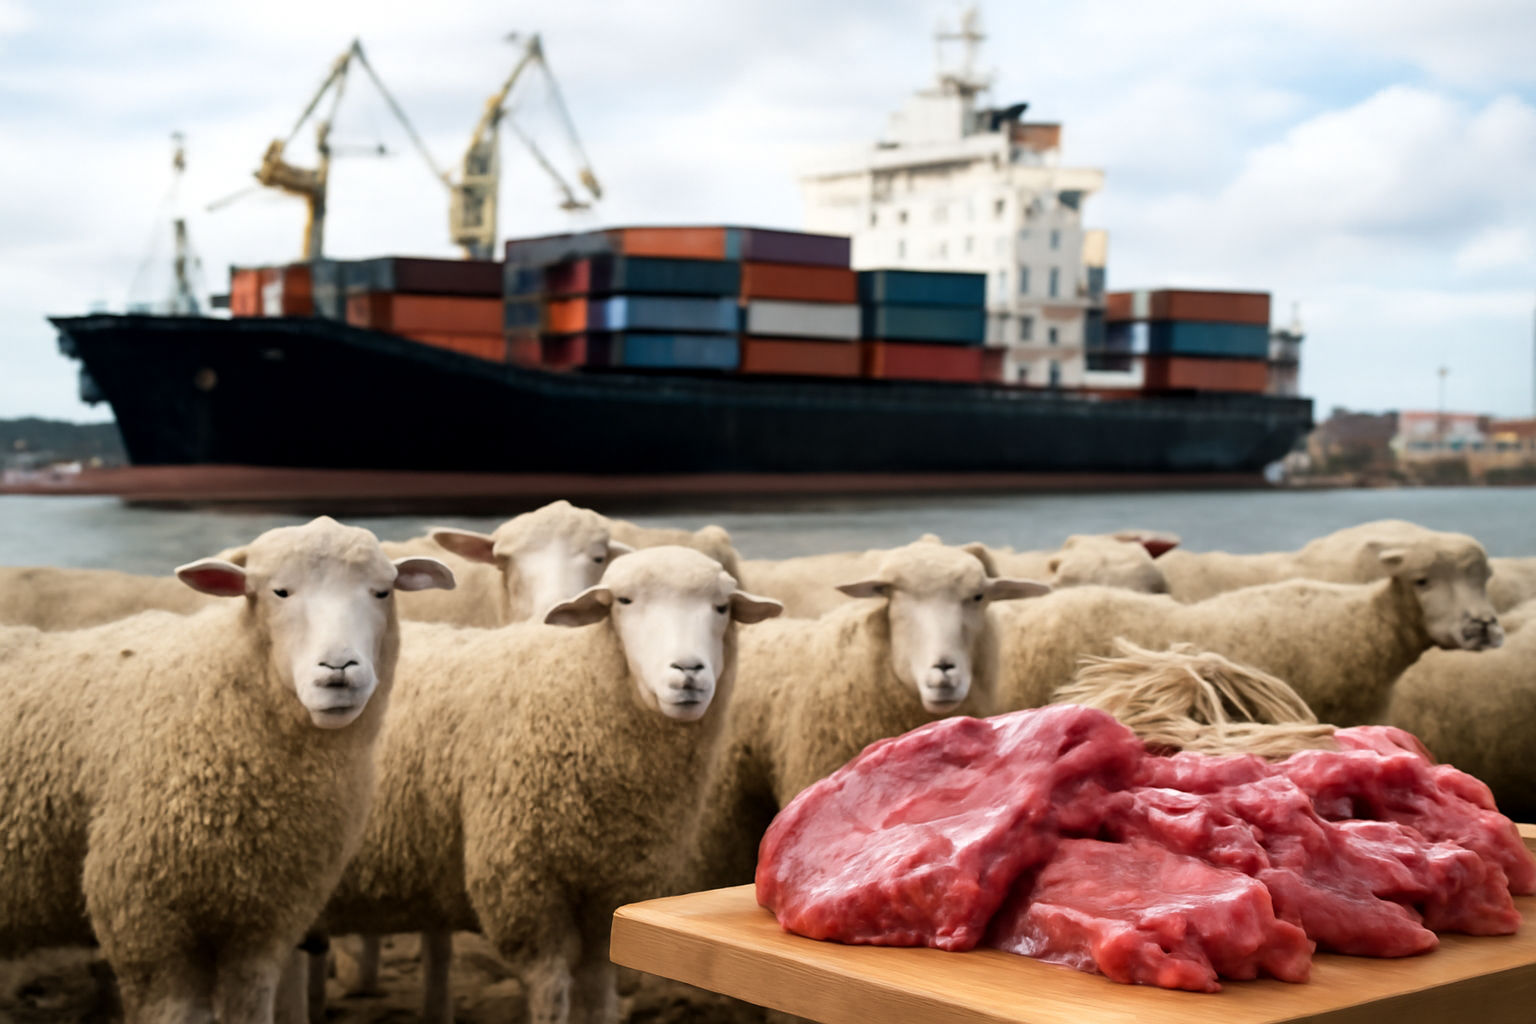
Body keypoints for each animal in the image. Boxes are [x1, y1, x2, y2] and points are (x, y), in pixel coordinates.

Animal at [0, 517, 454, 1024]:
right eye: (278, 592)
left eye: (381, 592)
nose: (339, 670)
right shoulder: (149, 927)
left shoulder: (264, 926)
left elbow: (251, 1006)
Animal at [315, 546, 782, 1024]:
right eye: (624, 601)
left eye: (722, 607)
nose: (688, 671)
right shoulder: (523, 887)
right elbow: (551, 988)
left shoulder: (611, 888)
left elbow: (598, 984)